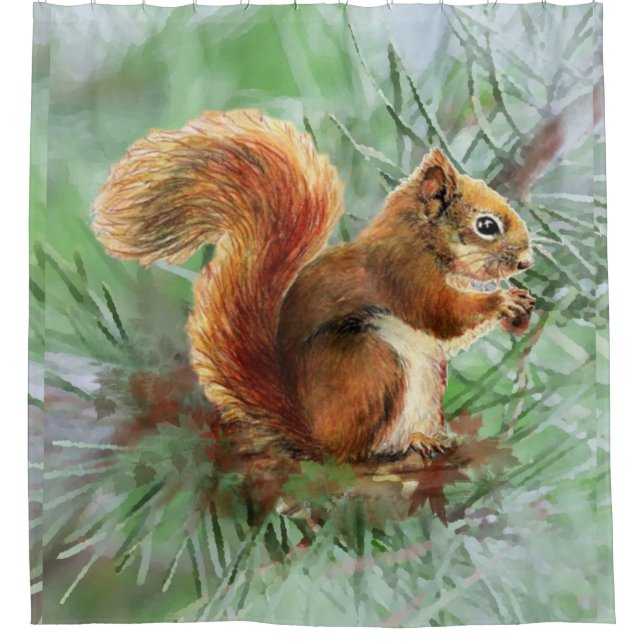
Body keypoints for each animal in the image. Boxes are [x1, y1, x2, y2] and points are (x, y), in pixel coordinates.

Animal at [92, 110, 535, 463]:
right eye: (486, 226)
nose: (526, 262)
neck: (421, 239)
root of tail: (311, 435)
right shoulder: (402, 273)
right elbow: (441, 314)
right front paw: (502, 300)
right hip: (370, 364)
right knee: (352, 452)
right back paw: (402, 446)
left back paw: (427, 439)